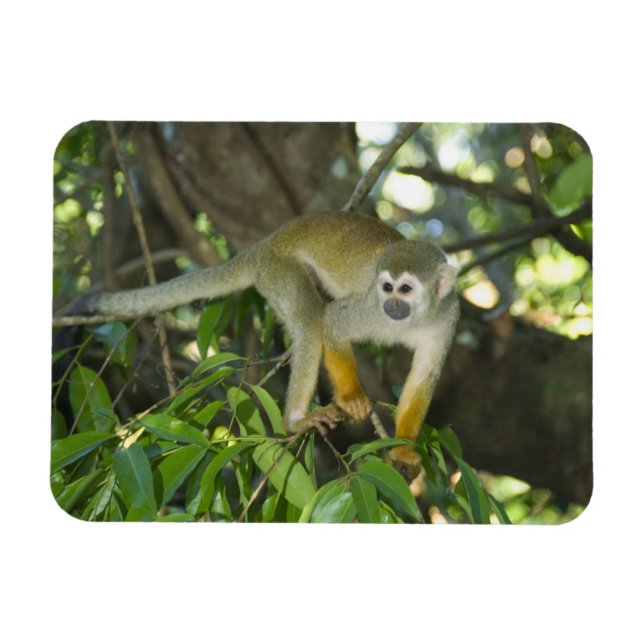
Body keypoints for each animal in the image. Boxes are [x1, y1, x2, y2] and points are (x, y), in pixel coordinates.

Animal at [60, 211, 459, 478]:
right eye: (387, 287)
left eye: (405, 289)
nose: (392, 305)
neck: (413, 317)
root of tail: (267, 243)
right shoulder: (369, 307)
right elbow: (332, 324)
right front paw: (351, 398)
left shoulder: (447, 318)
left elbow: (424, 377)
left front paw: (404, 450)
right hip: (278, 271)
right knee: (311, 319)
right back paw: (296, 421)